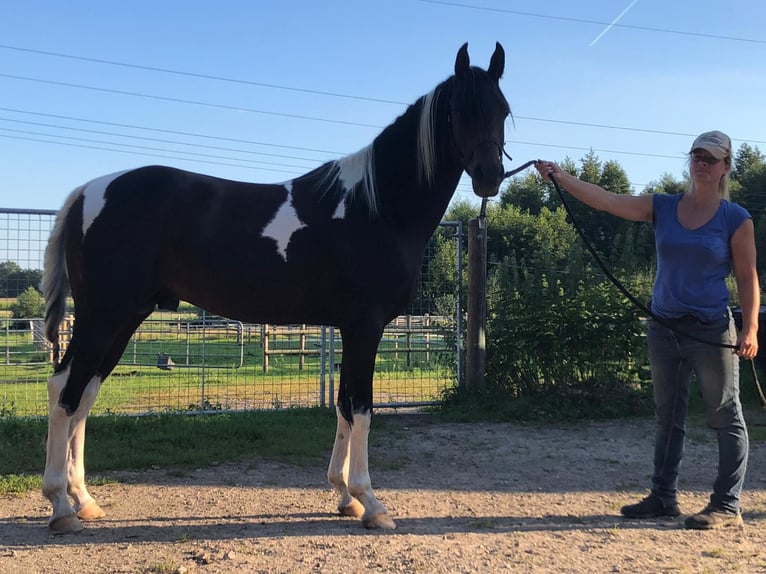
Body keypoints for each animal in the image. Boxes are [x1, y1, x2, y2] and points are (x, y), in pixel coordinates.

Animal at [40, 44, 510, 536]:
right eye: (460, 110)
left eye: (502, 109)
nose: (490, 176)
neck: (376, 207)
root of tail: (87, 193)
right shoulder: (366, 325)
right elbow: (361, 408)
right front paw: (371, 503)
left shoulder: (350, 328)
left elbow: (343, 406)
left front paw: (344, 496)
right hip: (103, 316)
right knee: (64, 392)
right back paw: (61, 506)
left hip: (125, 317)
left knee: (84, 395)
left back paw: (84, 500)